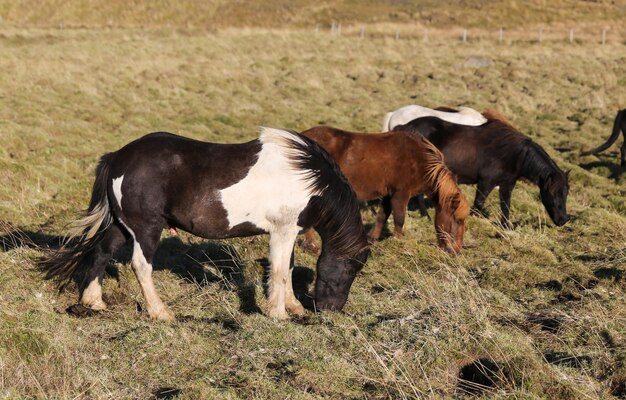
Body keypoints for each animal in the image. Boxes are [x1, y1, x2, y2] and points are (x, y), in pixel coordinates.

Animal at [39, 129, 368, 322]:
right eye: (352, 267)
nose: (330, 310)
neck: (307, 176)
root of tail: (118, 157)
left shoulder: (288, 232)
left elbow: (286, 268)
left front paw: (294, 307)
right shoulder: (283, 231)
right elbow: (279, 271)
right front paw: (278, 314)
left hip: (122, 226)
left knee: (100, 253)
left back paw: (93, 302)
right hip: (146, 229)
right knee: (140, 266)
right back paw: (161, 313)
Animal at [298, 125, 468, 253]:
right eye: (457, 220)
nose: (457, 250)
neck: (420, 161)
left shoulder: (388, 194)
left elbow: (381, 217)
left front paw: (372, 240)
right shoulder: (401, 194)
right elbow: (399, 219)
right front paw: (398, 242)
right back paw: (313, 245)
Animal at [394, 115, 572, 228]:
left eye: (565, 194)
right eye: (553, 193)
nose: (562, 220)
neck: (514, 155)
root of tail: (405, 127)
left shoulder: (506, 186)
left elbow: (505, 207)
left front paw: (506, 227)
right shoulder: (486, 183)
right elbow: (478, 205)